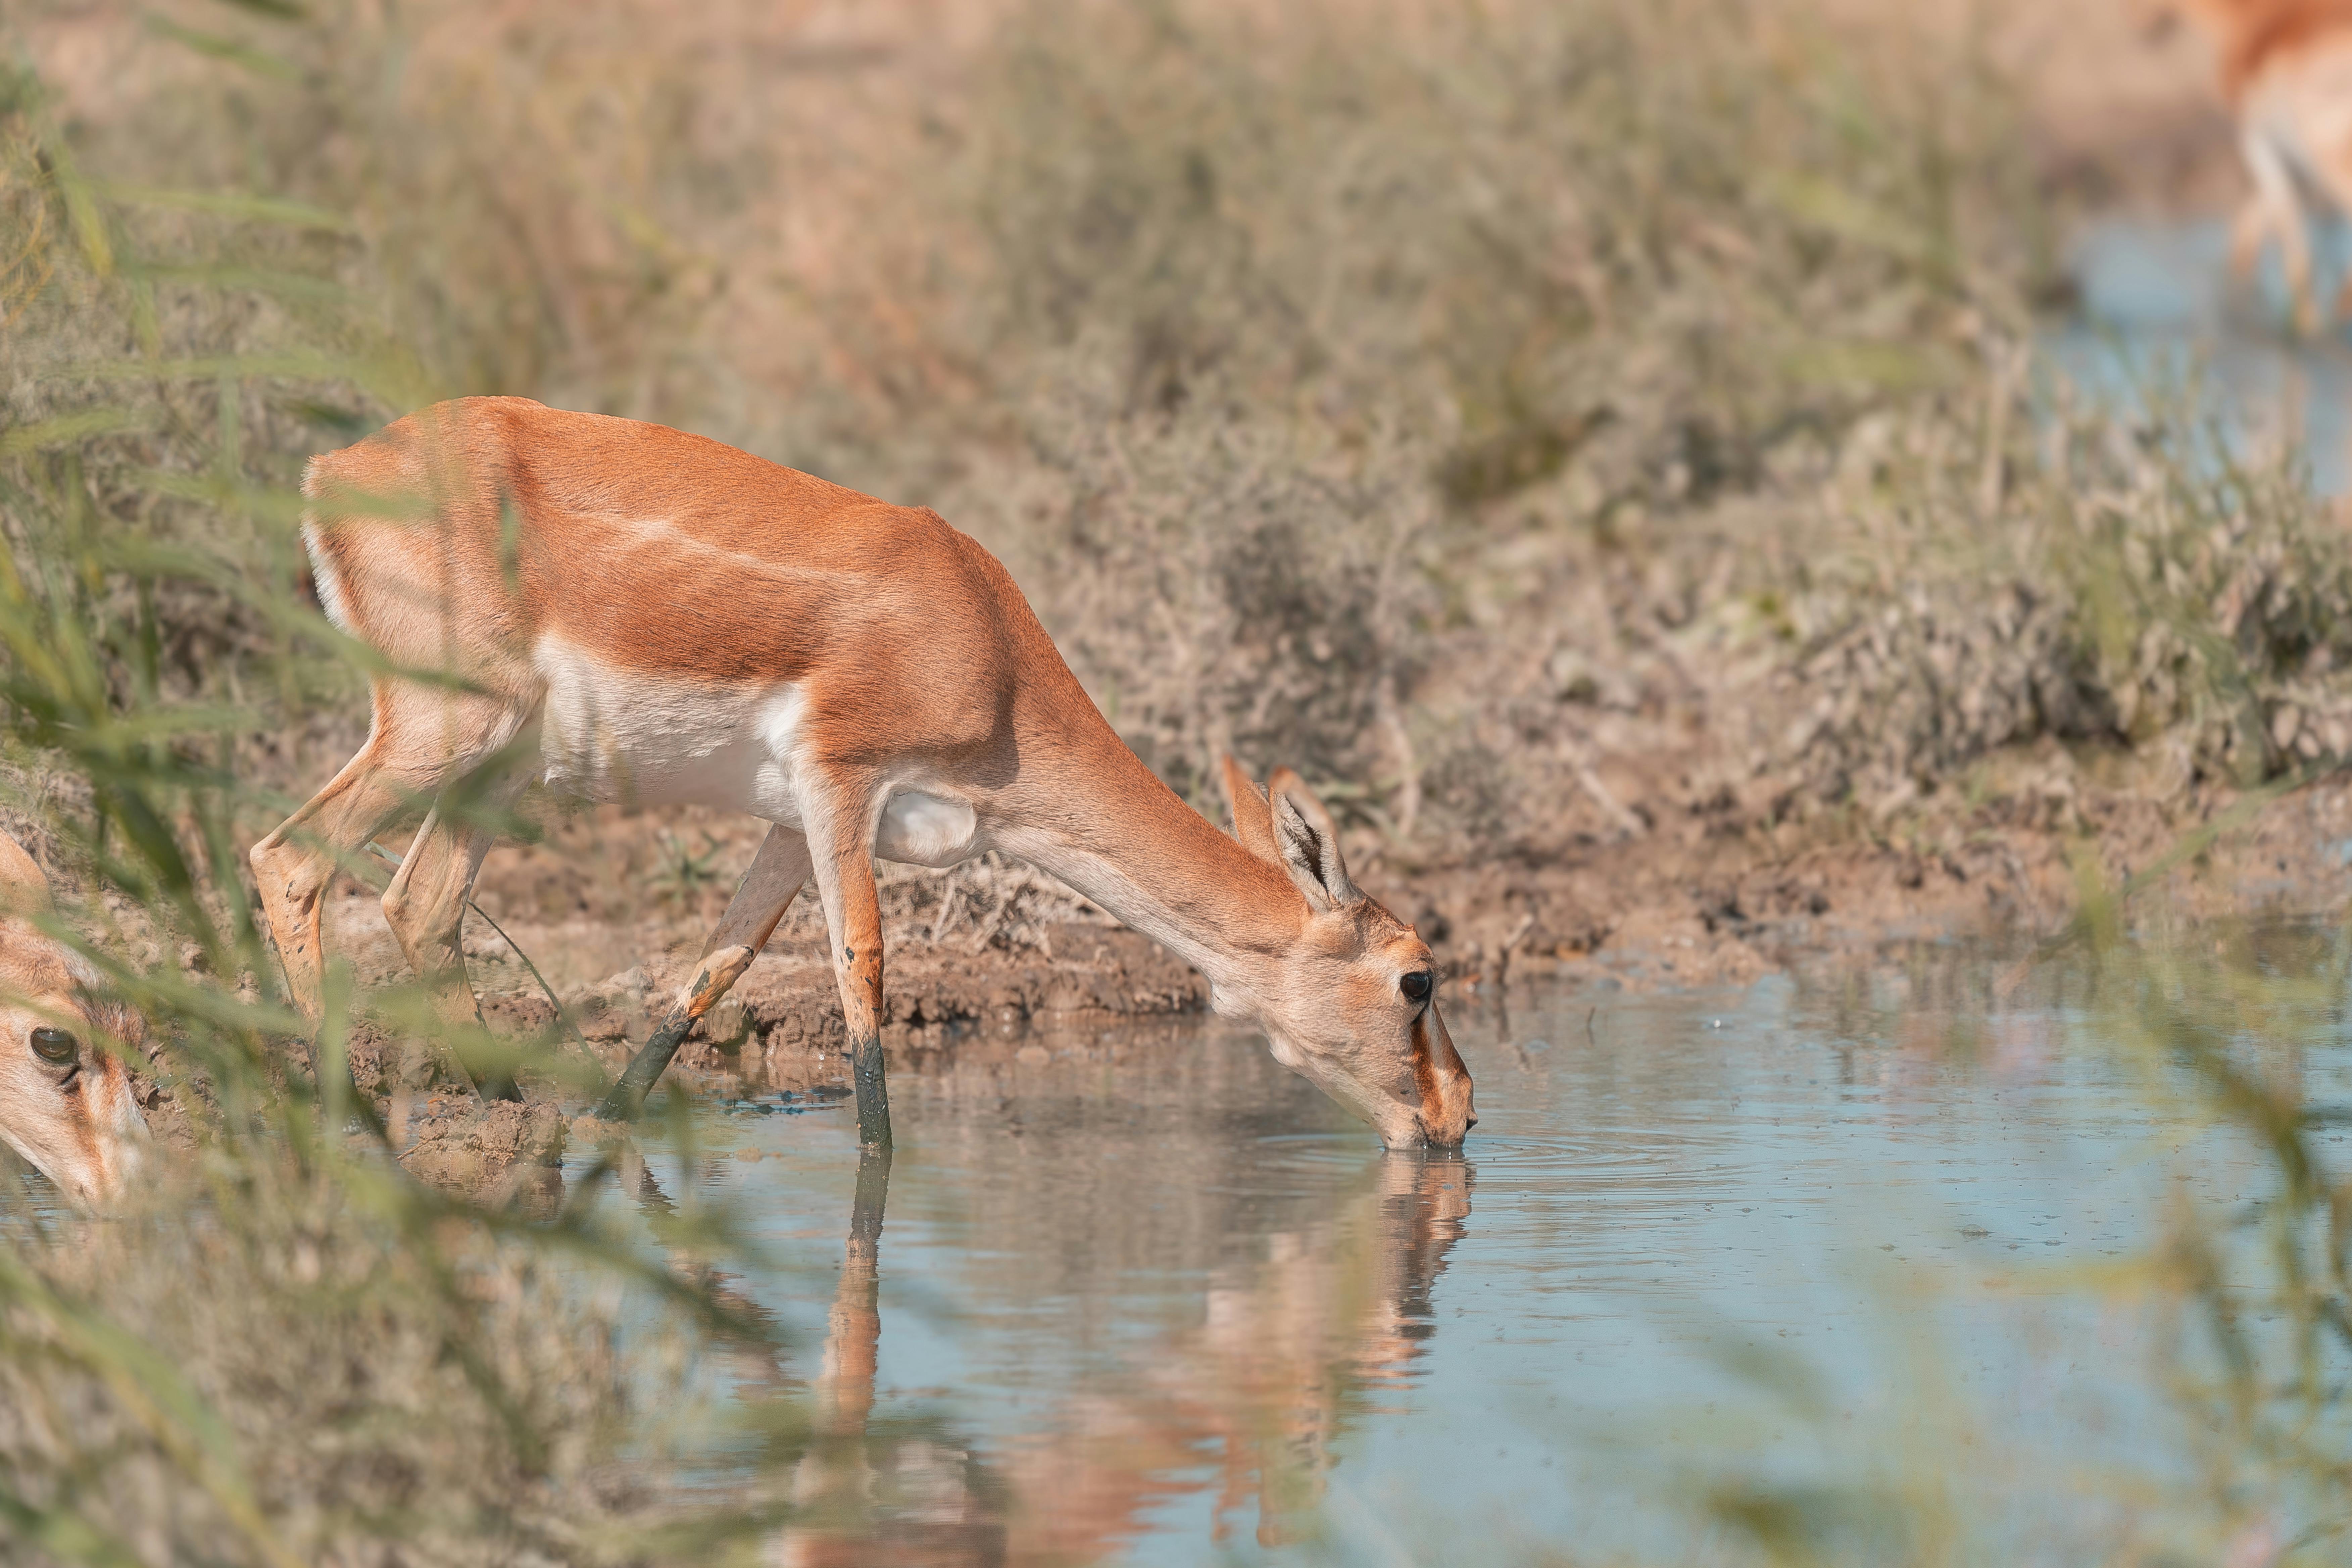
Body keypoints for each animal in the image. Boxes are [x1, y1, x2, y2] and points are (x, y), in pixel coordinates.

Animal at [252, 398, 1476, 1152]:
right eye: (1416, 979)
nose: (1458, 1115)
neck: (987, 645)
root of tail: (334, 470)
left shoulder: (785, 821)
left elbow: (716, 966)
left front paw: (606, 1118)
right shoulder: (841, 777)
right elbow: (862, 972)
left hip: (495, 770)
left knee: (420, 908)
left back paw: (511, 1121)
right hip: (441, 732)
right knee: (287, 857)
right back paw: (352, 1118)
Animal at [2152, 0, 2352, 331]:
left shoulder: (2257, 140)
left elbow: (2289, 247)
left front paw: (2308, 325)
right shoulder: (2286, 157)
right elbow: (2248, 235)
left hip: (2327, 157)